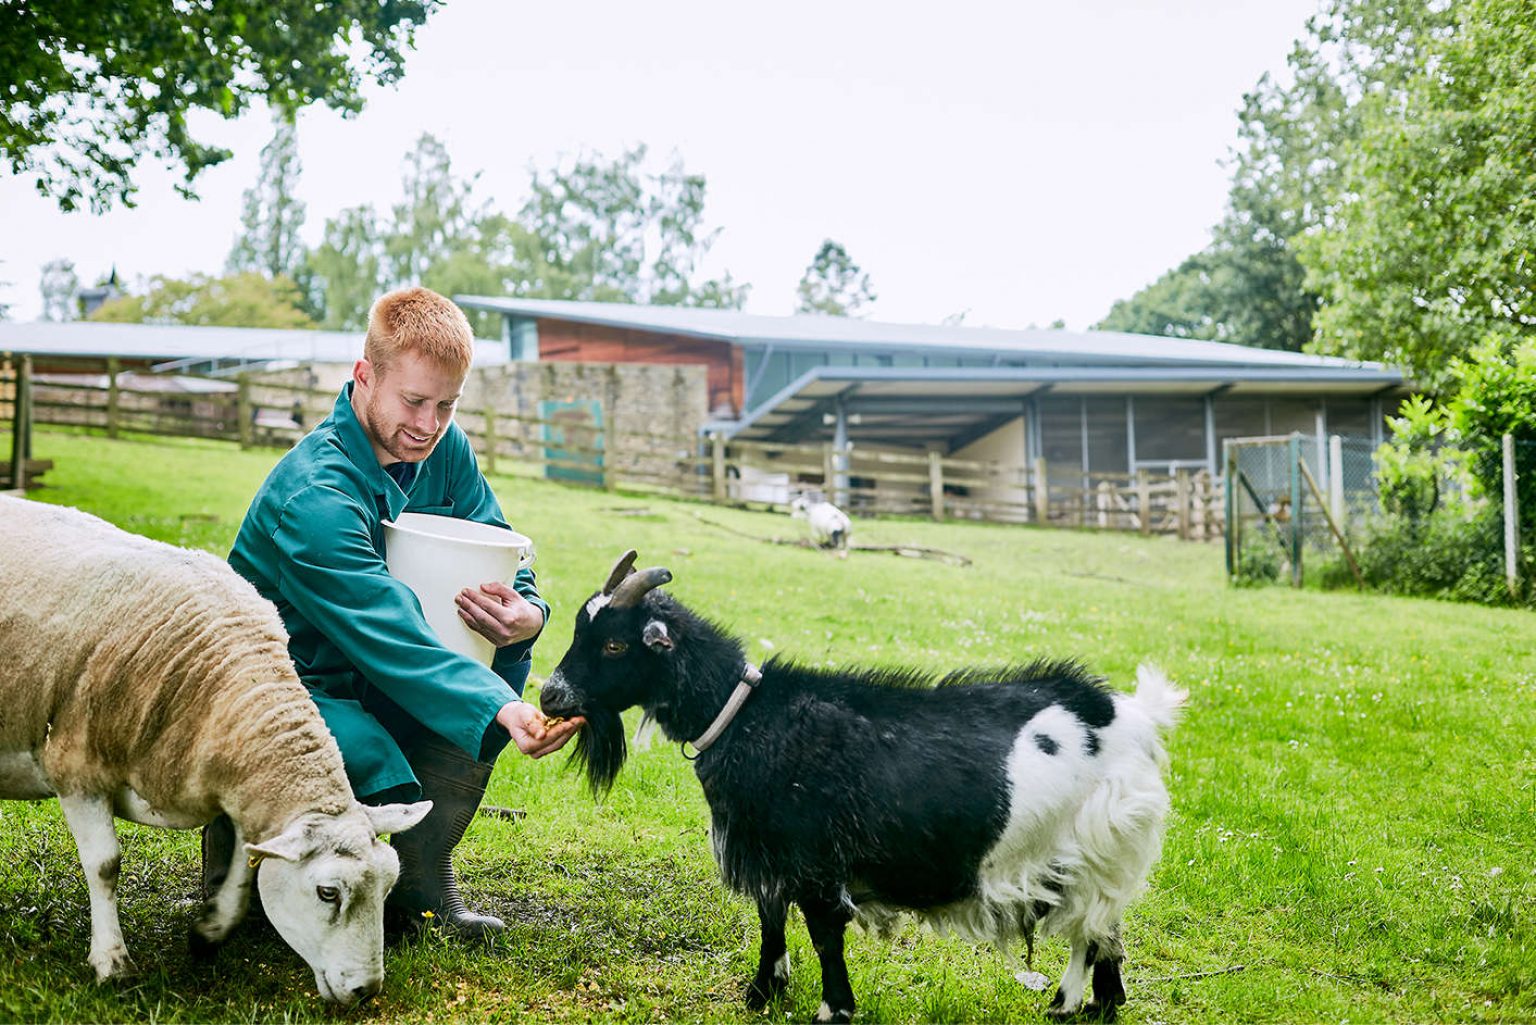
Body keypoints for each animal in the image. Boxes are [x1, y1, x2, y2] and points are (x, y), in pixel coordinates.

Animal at [0, 491, 430, 1008]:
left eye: (389, 885)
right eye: (328, 893)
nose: (366, 990)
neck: (220, 685)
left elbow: (246, 866)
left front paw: (209, 932)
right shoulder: (77, 768)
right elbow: (105, 866)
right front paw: (112, 962)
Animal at [540, 553, 1185, 1025]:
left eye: (615, 644)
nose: (549, 696)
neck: (746, 714)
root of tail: (1132, 714)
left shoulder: (815, 862)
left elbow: (824, 934)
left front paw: (834, 1009)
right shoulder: (771, 857)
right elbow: (771, 922)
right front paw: (763, 994)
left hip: (1099, 845)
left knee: (1090, 930)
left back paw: (1070, 1002)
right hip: (1089, 854)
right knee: (1105, 929)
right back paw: (1099, 1004)